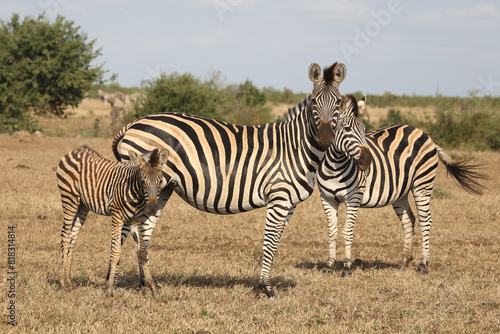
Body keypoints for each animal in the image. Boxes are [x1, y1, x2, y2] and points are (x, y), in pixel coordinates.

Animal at [56, 145, 170, 296]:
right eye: (143, 181)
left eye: (160, 181)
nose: (152, 209)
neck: (136, 193)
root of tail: (75, 151)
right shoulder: (117, 216)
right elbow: (115, 251)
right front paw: (110, 288)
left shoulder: (136, 219)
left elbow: (142, 251)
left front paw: (152, 286)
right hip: (69, 199)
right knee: (65, 236)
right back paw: (62, 282)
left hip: (82, 206)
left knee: (72, 236)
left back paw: (69, 281)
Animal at [112, 61, 348, 296]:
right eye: (314, 101)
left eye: (338, 102)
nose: (325, 139)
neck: (296, 148)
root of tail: (133, 123)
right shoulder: (279, 196)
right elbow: (270, 241)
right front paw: (266, 286)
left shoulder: (289, 203)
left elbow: (276, 241)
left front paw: (264, 283)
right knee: (128, 228)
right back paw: (115, 281)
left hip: (160, 189)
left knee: (142, 231)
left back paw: (147, 283)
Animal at [316, 100, 484, 276]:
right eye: (347, 128)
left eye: (363, 128)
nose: (367, 160)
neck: (335, 167)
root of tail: (423, 133)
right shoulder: (326, 199)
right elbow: (332, 232)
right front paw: (329, 265)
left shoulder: (353, 198)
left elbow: (347, 232)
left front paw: (347, 267)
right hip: (400, 193)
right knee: (408, 220)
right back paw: (404, 261)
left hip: (422, 185)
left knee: (425, 221)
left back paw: (423, 264)